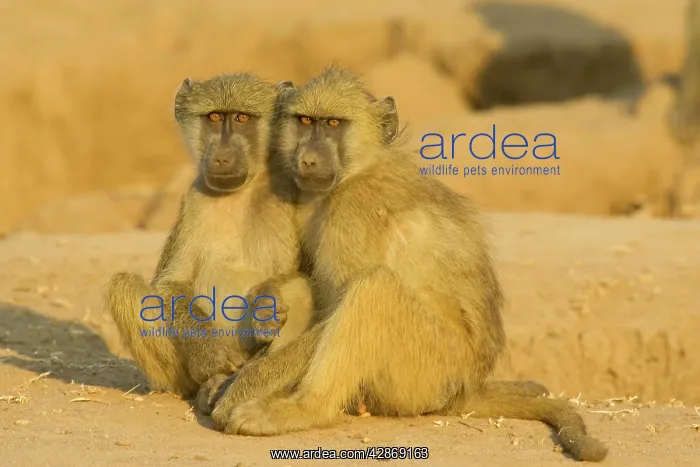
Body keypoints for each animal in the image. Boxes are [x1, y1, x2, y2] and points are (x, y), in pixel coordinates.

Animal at [104, 73, 315, 399]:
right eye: (214, 117)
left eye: (242, 118)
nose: (222, 157)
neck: (242, 191)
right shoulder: (195, 202)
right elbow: (171, 284)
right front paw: (210, 357)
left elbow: (305, 277)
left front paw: (264, 307)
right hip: (179, 376)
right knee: (122, 286)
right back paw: (209, 383)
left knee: (302, 288)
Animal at [202, 66, 608, 463]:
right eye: (305, 121)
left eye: (333, 124)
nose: (308, 160)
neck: (360, 169)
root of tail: (466, 388)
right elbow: (310, 288)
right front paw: (263, 309)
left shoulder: (352, 214)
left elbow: (335, 304)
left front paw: (237, 390)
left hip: (428, 373)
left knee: (374, 288)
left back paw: (302, 409)